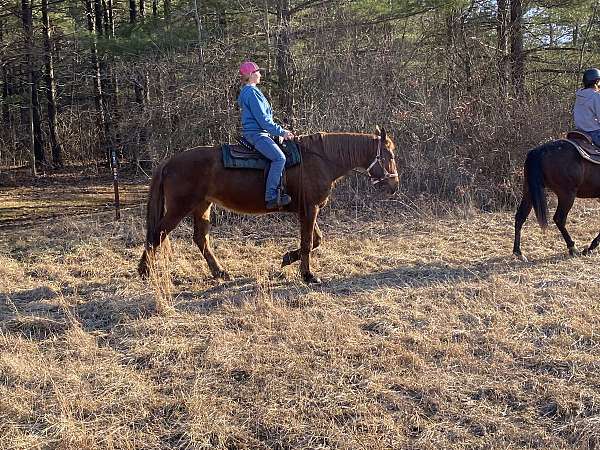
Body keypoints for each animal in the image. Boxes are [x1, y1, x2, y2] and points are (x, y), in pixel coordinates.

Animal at [137, 127, 398, 282]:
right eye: (390, 156)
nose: (394, 185)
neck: (320, 159)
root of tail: (169, 162)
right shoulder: (310, 209)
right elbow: (307, 243)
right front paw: (308, 275)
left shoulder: (308, 209)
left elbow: (315, 240)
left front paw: (288, 258)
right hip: (179, 208)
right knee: (157, 234)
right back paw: (144, 271)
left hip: (202, 206)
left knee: (201, 239)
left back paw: (220, 272)